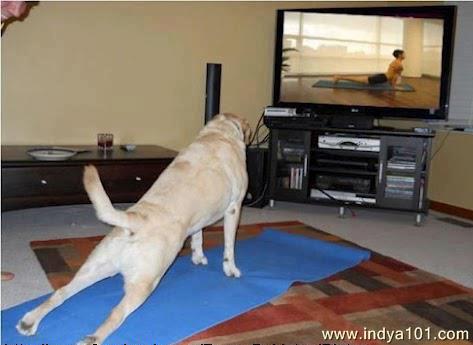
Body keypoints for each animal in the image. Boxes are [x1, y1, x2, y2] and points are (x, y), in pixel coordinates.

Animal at [17, 112, 251, 342]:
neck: (218, 134)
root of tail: (134, 220)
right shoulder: (234, 208)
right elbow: (229, 246)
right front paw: (231, 269)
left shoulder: (201, 218)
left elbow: (198, 236)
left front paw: (198, 257)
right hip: (145, 282)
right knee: (115, 314)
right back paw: (92, 337)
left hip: (96, 268)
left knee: (61, 293)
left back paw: (29, 321)